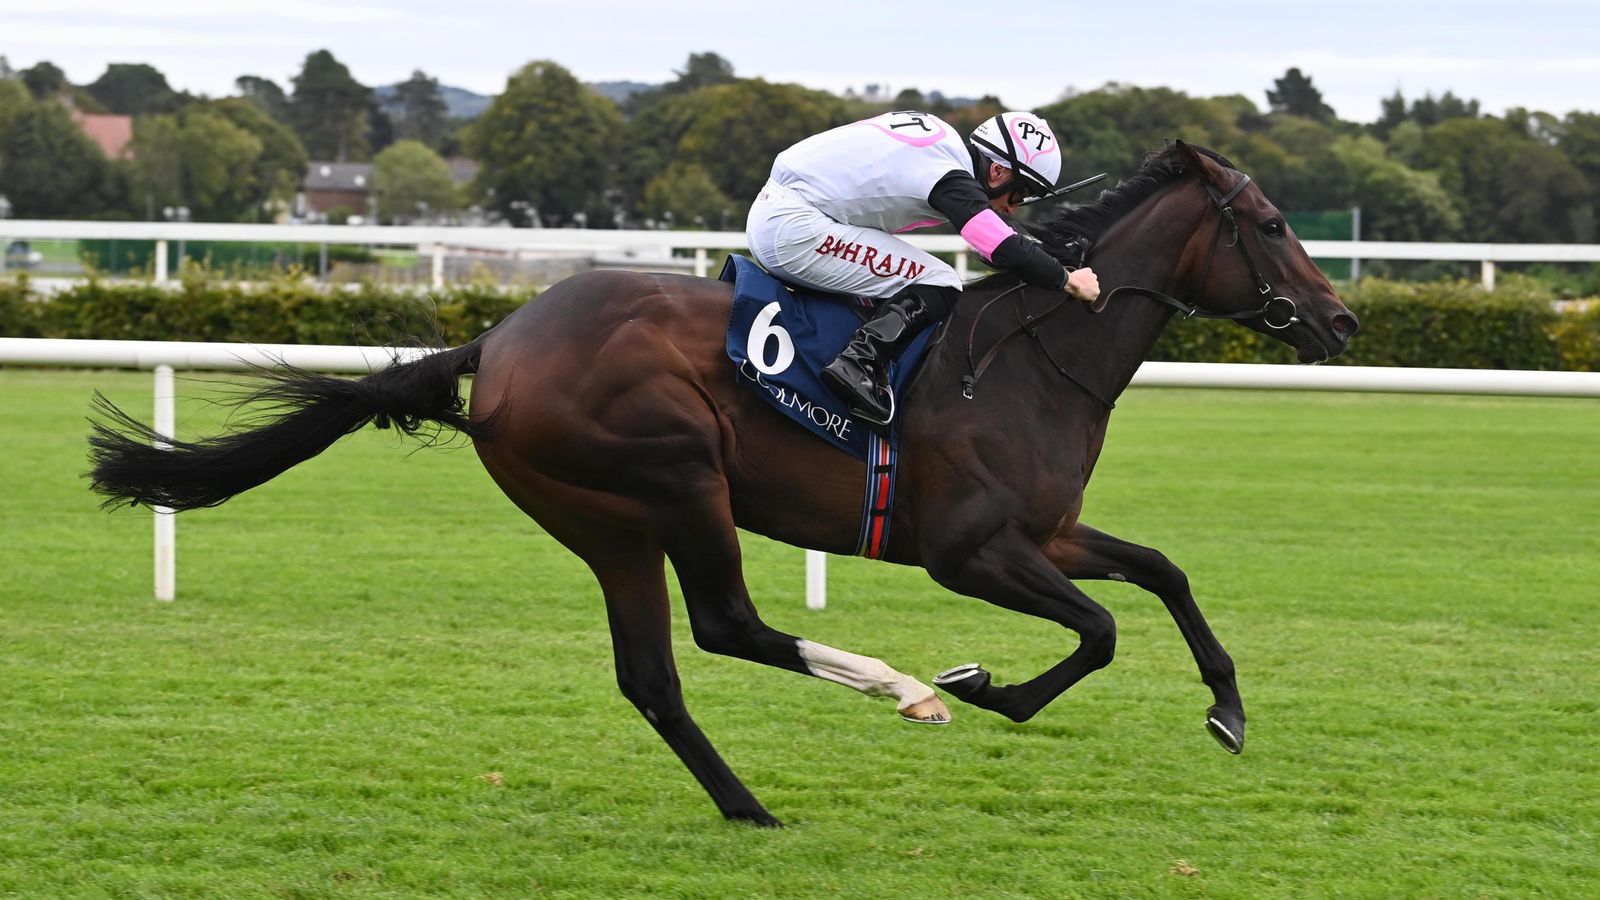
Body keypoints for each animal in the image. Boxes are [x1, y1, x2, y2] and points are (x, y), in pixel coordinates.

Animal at [87, 141, 1356, 826]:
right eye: (1270, 222)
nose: (1343, 322)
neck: (1029, 354)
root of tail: (497, 342)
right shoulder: (970, 551)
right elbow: (1097, 631)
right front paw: (984, 685)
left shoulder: (1048, 531)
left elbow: (1163, 575)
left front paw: (1227, 707)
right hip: (673, 479)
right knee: (727, 626)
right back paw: (904, 689)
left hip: (605, 523)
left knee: (654, 674)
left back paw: (746, 801)